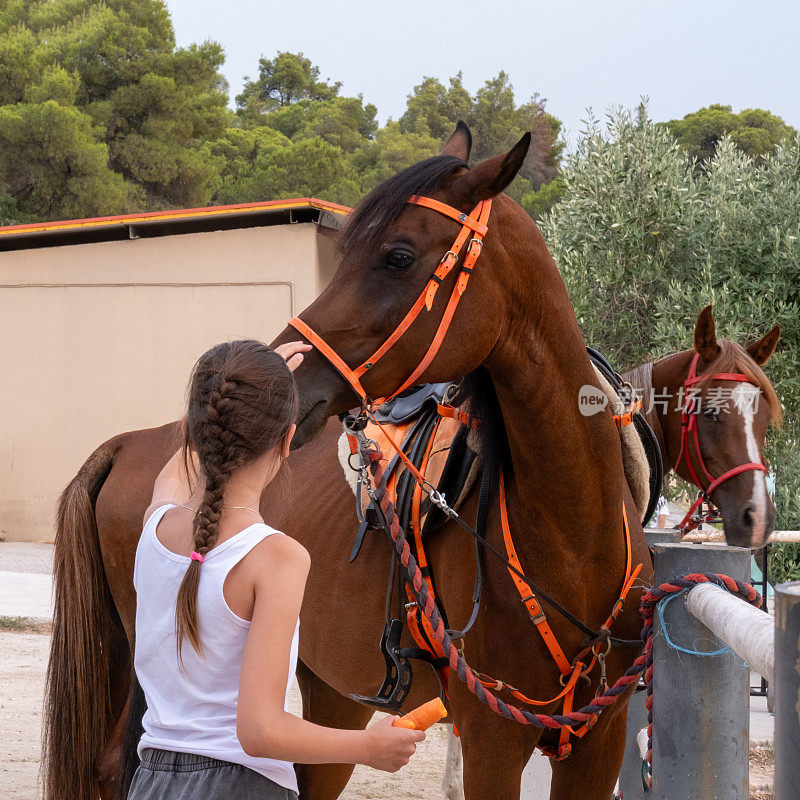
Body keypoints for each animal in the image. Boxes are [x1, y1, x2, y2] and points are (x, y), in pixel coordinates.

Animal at [47, 125, 656, 800]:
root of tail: (131, 441)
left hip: (330, 692)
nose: (284, 373)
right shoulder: (493, 738)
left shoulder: (599, 742)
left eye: (397, 257)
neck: (572, 535)